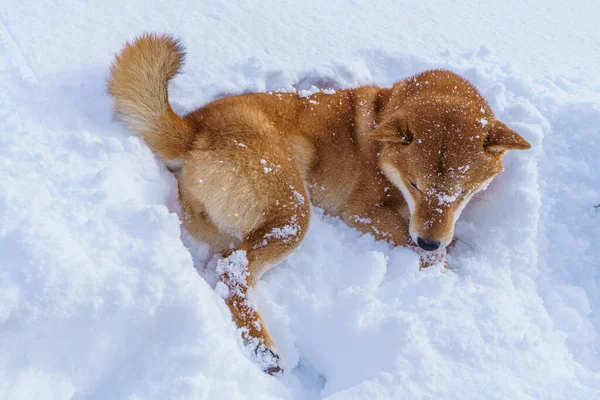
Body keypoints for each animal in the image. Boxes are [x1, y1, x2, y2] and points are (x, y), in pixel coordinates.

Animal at [106, 32, 528, 374]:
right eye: (414, 185)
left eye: (464, 193)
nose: (429, 241)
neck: (384, 121)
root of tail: (194, 128)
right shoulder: (363, 212)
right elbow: (429, 250)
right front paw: (443, 264)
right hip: (295, 211)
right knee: (232, 271)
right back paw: (261, 347)